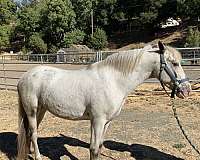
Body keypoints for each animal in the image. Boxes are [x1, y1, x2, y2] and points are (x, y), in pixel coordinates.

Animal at [17, 41, 191, 160]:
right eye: (175, 63)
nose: (186, 90)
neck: (113, 80)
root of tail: (24, 77)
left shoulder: (106, 122)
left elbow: (99, 146)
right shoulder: (98, 121)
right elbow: (94, 149)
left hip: (41, 110)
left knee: (31, 133)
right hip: (31, 111)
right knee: (33, 134)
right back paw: (38, 157)